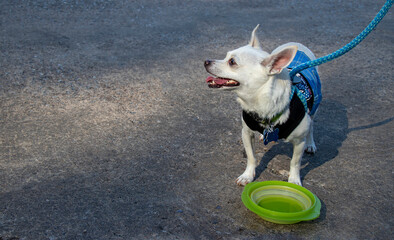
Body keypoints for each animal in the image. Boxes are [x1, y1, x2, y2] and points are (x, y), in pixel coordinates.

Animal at [205, 24, 322, 186]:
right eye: (226, 56)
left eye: (232, 62)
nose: (206, 61)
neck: (262, 106)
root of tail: (297, 44)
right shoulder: (246, 133)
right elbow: (251, 157)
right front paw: (247, 176)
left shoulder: (299, 142)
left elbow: (295, 162)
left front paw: (293, 180)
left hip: (314, 108)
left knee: (311, 126)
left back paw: (310, 144)